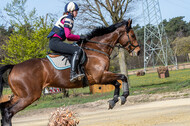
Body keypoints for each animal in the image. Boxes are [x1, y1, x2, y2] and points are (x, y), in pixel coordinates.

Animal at [0, 19, 140, 126]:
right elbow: (123, 77)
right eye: (133, 35)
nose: (138, 52)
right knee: (8, 112)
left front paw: (114, 101)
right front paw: (124, 96)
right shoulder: (100, 76)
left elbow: (117, 82)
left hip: (20, 95)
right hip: (29, 96)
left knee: (4, 108)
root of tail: (14, 67)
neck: (97, 48)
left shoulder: (100, 77)